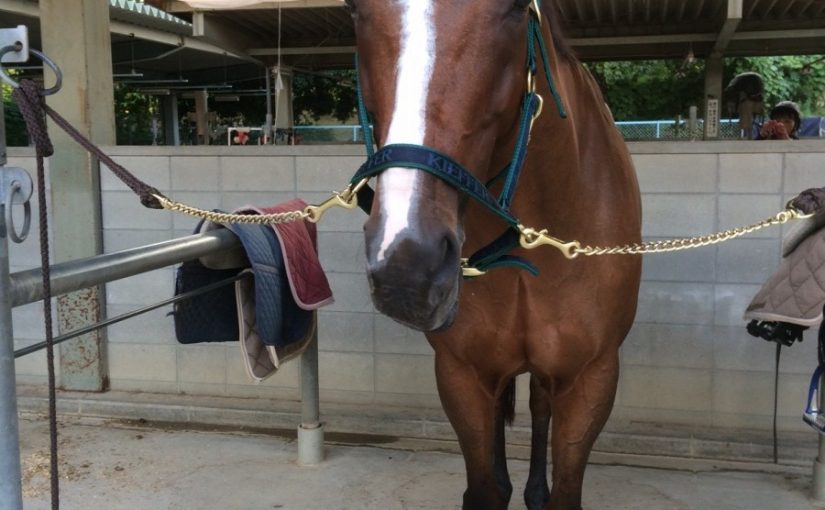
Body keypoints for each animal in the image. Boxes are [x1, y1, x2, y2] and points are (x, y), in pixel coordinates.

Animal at [349, 1, 642, 508]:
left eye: (515, 7)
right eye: (353, 9)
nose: (408, 262)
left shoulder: (590, 377)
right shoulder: (462, 374)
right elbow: (486, 485)